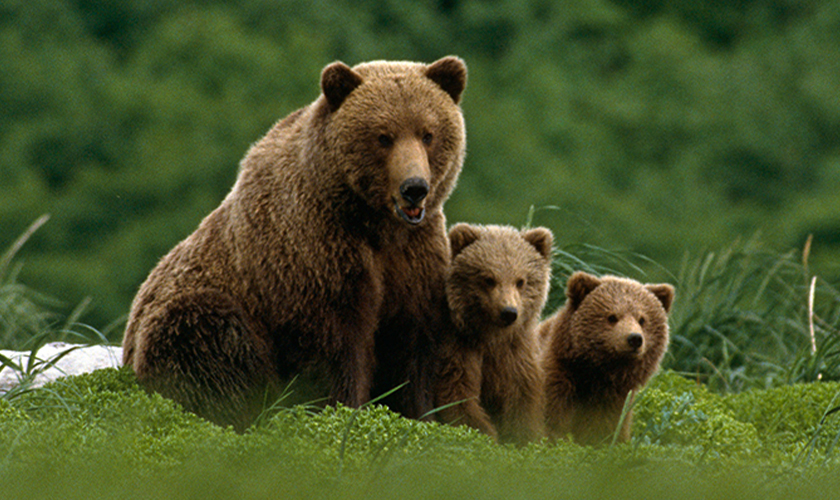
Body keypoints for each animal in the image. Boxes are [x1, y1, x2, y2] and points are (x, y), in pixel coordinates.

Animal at [121, 56, 468, 431]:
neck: (372, 222)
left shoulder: (414, 259)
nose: (414, 187)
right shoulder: (313, 252)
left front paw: (422, 416)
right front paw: (341, 410)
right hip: (186, 315)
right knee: (208, 337)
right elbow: (333, 347)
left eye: (428, 134)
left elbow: (412, 348)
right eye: (383, 136)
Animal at [434, 223, 553, 444]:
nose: (509, 312)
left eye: (520, 281)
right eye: (488, 279)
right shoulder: (458, 345)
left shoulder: (515, 353)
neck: (492, 336)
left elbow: (521, 399)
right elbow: (457, 395)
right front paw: (487, 435)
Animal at [539, 271, 674, 445]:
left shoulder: (613, 399)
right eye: (612, 317)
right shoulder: (557, 379)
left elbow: (606, 429)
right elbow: (551, 421)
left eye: (642, 319)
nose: (635, 339)